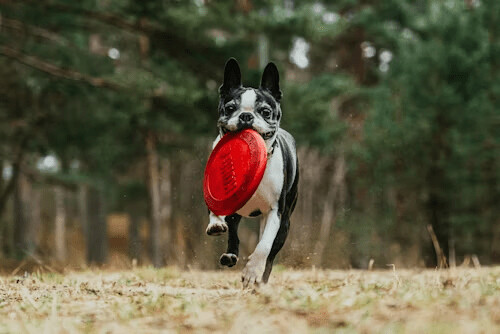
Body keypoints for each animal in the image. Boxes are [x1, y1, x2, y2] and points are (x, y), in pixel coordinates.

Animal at [205, 58, 298, 288]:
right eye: (230, 108)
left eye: (265, 112)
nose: (246, 116)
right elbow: (215, 209)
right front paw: (215, 223)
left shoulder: (275, 212)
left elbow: (264, 246)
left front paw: (252, 272)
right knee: (234, 232)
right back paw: (230, 255)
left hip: (285, 223)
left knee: (271, 254)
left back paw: (261, 280)